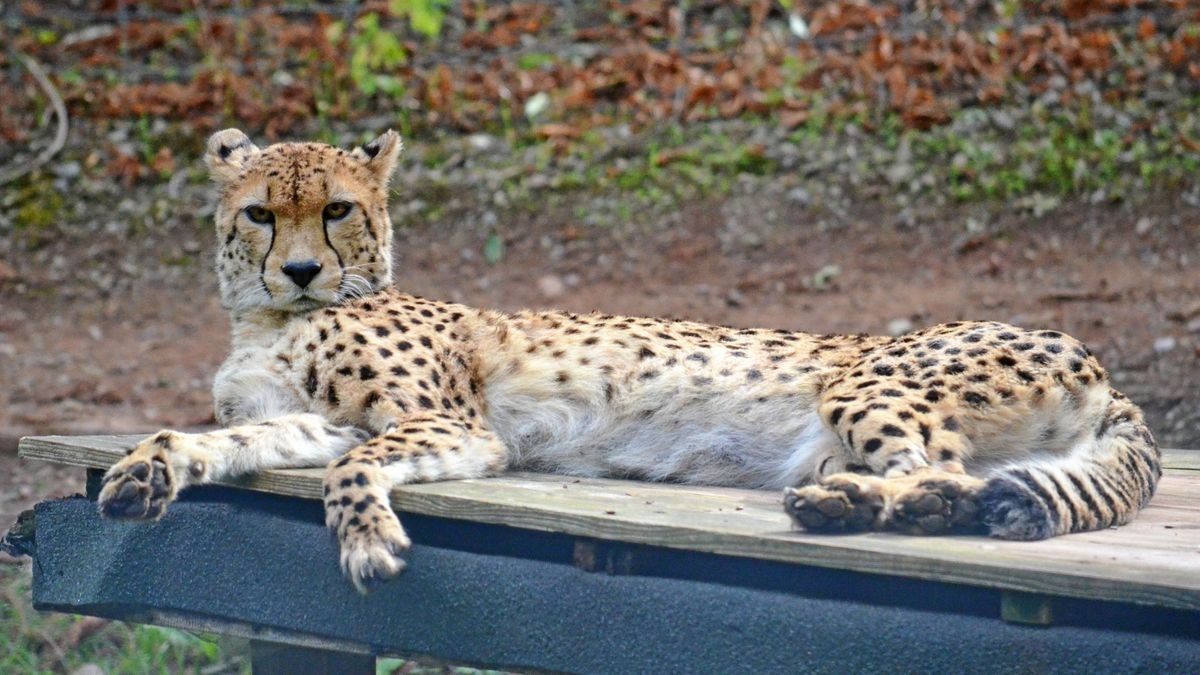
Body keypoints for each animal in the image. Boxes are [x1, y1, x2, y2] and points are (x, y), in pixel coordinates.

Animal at [98, 130, 1156, 588]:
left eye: (338, 209)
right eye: (259, 213)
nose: (303, 269)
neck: (269, 319)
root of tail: (1098, 360)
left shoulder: (449, 425)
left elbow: (351, 471)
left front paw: (366, 541)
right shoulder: (318, 417)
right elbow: (220, 440)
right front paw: (146, 469)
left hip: (868, 384)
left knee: (937, 468)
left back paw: (862, 504)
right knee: (951, 480)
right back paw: (859, 505)